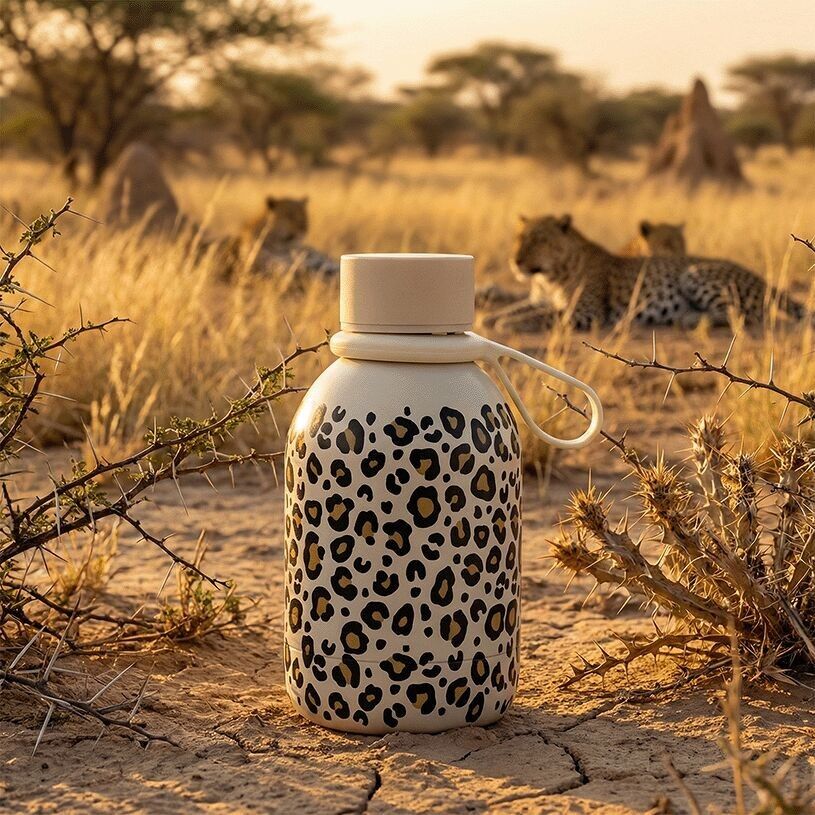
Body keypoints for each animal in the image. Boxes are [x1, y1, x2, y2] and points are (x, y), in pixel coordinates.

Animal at [484, 214, 808, 333]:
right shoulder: (538, 299)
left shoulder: (585, 313)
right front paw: (491, 317)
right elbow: (521, 307)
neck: (548, 277)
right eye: (518, 238)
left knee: (743, 315)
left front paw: (506, 324)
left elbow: (542, 316)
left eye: (539, 240)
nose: (514, 262)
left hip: (695, 272)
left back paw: (689, 318)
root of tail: (765, 281)